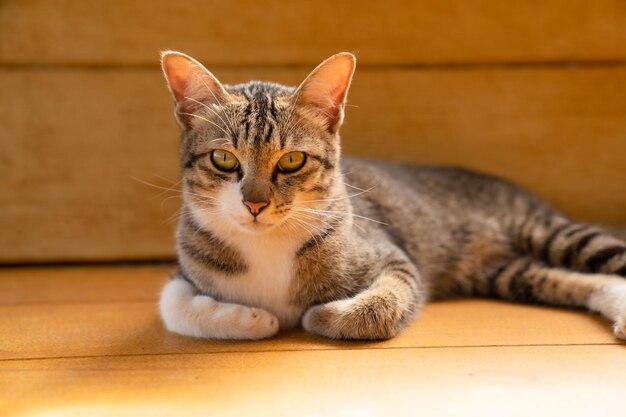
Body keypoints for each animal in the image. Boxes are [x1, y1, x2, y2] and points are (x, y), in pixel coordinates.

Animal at [158, 50, 624, 340]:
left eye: (291, 161)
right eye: (223, 158)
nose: (254, 203)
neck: (267, 245)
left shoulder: (393, 258)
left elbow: (383, 302)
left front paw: (320, 315)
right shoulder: (185, 273)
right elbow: (174, 306)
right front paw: (255, 319)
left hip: (547, 232)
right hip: (508, 273)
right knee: (582, 280)